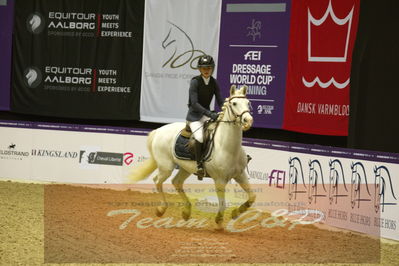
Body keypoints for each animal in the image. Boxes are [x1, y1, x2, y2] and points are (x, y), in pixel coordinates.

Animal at [130, 85, 256, 229]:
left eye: (248, 103)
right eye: (234, 103)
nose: (248, 121)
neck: (227, 147)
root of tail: (159, 130)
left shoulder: (240, 174)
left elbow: (252, 197)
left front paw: (236, 212)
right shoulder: (219, 180)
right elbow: (223, 205)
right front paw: (219, 221)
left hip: (186, 168)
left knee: (176, 182)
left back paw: (186, 211)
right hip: (166, 166)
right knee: (157, 181)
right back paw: (161, 209)